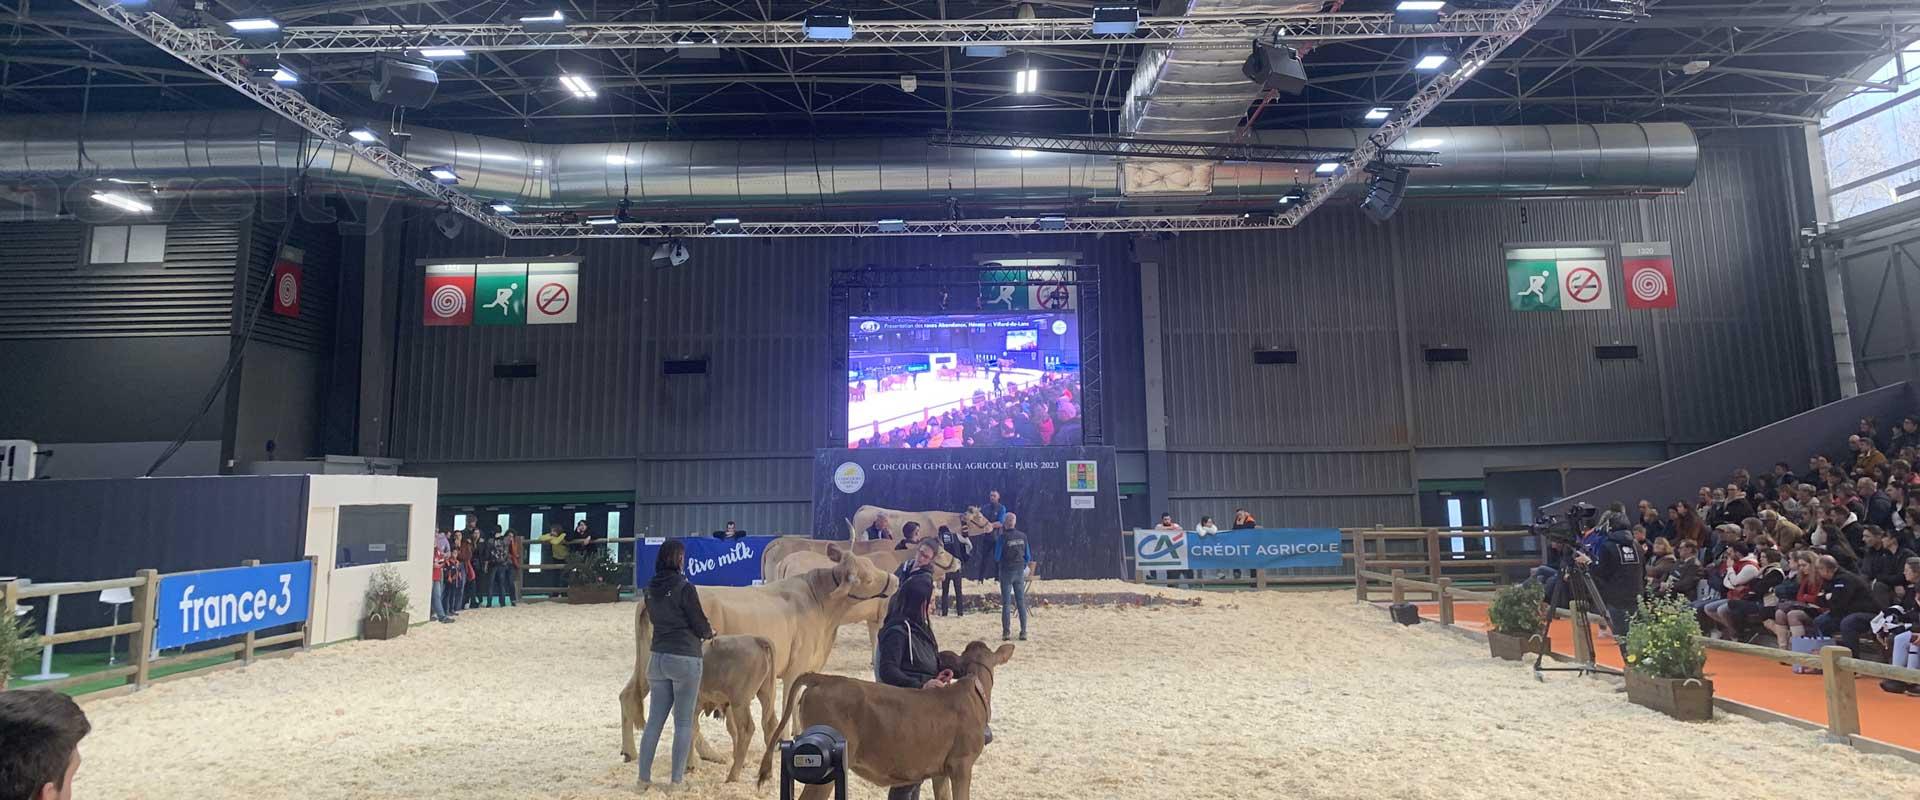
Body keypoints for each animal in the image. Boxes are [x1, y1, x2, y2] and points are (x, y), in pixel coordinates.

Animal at [625, 544, 902, 763]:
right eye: (867, 578)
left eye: (870, 565)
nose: (896, 579)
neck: (821, 607)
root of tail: (644, 600)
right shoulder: (795, 667)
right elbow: (789, 701)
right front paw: (787, 739)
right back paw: (707, 755)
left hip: (649, 664)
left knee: (628, 694)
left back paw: (631, 753)